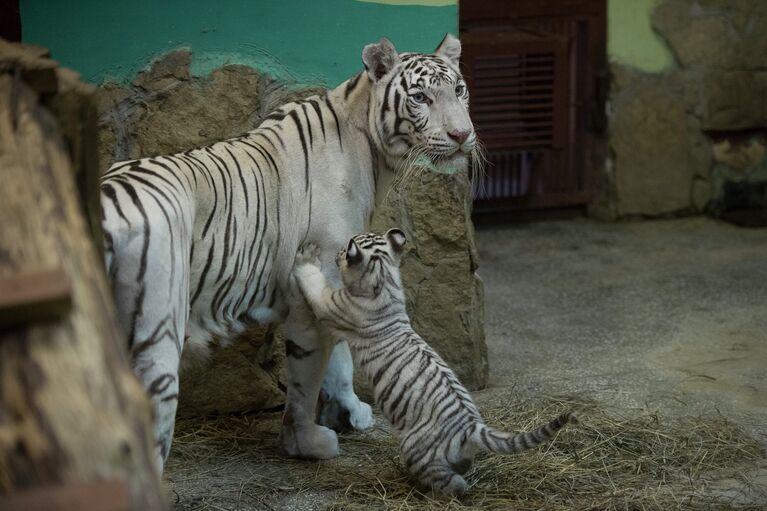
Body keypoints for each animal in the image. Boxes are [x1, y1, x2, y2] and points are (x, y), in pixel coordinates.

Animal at [99, 34, 476, 470]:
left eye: (459, 90)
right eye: (420, 97)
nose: (462, 135)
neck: (370, 147)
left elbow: (337, 359)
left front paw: (347, 411)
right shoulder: (319, 283)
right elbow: (313, 373)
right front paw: (308, 441)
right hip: (155, 339)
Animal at [292, 234, 576, 498]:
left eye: (344, 250)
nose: (336, 253)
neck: (385, 280)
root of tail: (470, 426)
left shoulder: (332, 304)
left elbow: (315, 284)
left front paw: (306, 255)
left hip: (416, 447)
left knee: (450, 481)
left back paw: (437, 491)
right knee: (462, 465)